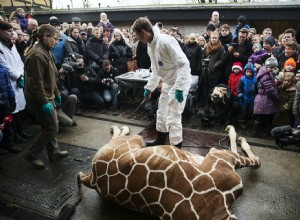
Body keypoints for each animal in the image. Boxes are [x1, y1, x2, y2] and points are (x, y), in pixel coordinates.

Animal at [59, 124, 260, 219]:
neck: (219, 212)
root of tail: (92, 178)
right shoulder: (220, 157)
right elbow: (254, 160)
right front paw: (236, 133)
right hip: (135, 140)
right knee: (121, 136)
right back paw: (119, 127)